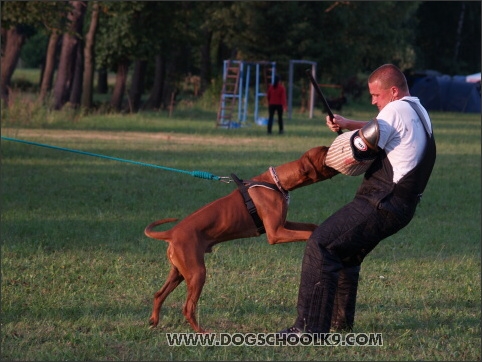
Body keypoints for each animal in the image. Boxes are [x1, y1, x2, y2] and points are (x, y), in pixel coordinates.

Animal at [145, 146, 338, 332]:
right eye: (325, 150)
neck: (276, 183)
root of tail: (172, 233)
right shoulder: (276, 233)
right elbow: (306, 234)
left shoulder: (283, 224)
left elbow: (311, 226)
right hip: (197, 273)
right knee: (187, 308)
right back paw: (201, 332)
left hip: (179, 272)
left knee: (159, 295)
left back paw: (154, 321)